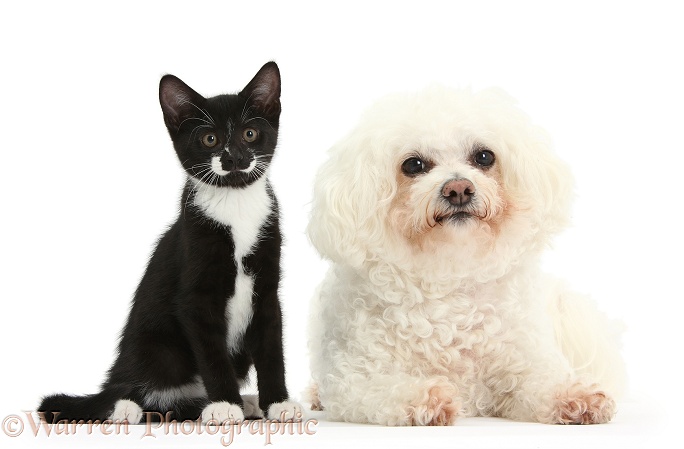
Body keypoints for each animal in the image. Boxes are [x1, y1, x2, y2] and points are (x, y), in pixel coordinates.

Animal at [38, 61, 300, 422]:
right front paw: (224, 405)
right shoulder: (194, 294)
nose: (233, 158)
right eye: (209, 139)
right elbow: (212, 353)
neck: (235, 205)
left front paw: (277, 403)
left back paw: (247, 403)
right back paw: (126, 408)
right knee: (152, 398)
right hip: (157, 351)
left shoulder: (267, 285)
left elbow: (272, 347)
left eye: (249, 133)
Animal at [308, 84, 628, 424]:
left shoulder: (524, 361)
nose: (458, 188)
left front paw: (576, 396)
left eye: (484, 156)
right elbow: (382, 390)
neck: (451, 272)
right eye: (413, 165)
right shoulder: (353, 377)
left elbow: (544, 381)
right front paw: (425, 398)